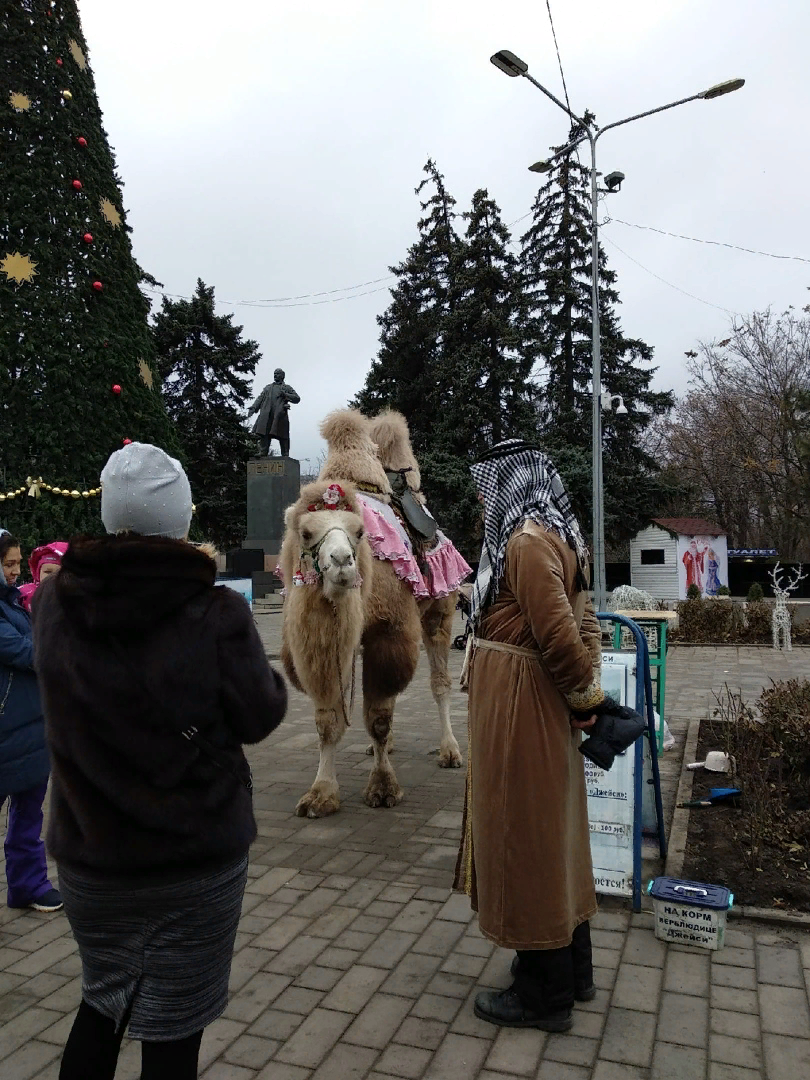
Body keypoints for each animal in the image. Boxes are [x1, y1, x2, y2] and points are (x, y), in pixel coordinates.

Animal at [278, 408, 468, 812]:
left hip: (439, 613)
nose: (342, 561)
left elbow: (379, 715)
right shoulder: (320, 645)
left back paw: (450, 751)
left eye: (361, 531)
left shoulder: (389, 630)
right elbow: (328, 719)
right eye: (306, 533)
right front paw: (320, 794)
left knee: (439, 683)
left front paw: (382, 788)